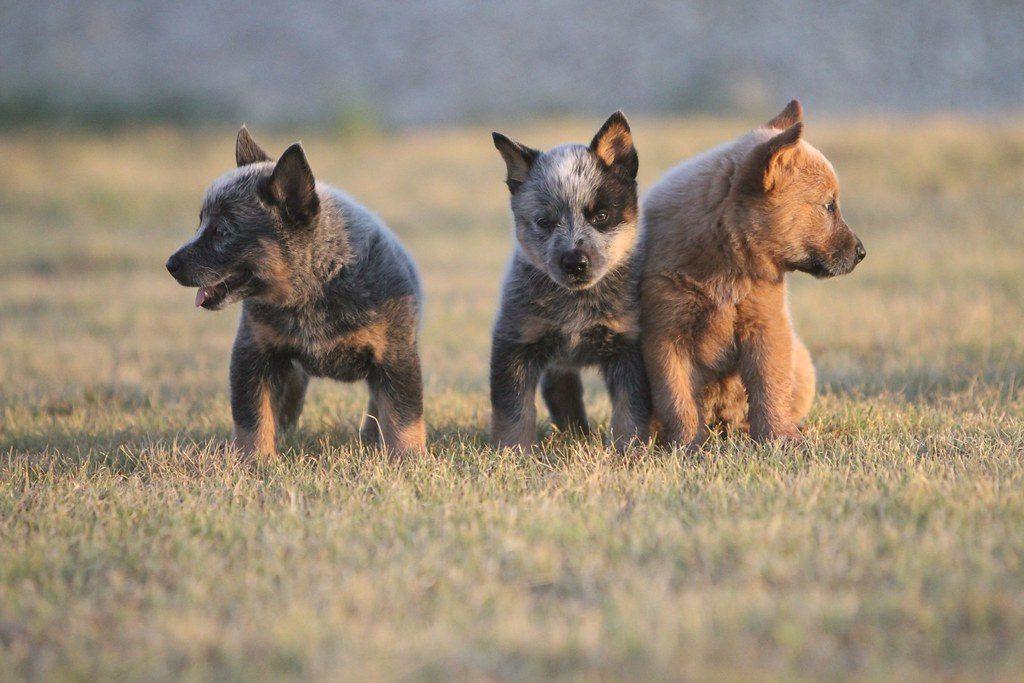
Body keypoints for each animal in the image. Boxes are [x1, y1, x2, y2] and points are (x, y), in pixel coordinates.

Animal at [167, 127, 423, 458]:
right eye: (200, 224)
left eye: (221, 232)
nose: (169, 264)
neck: (314, 289)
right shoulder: (254, 354)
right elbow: (252, 417)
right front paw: (254, 460)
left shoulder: (395, 355)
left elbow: (402, 418)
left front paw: (408, 459)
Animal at [487, 114, 647, 450]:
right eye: (544, 222)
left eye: (601, 216)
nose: (574, 262)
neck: (576, 304)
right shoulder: (516, 340)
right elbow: (513, 409)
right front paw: (512, 452)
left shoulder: (628, 344)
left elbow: (630, 409)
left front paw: (630, 450)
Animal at [638, 98, 864, 446]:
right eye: (829, 206)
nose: (861, 253)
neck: (725, 266)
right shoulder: (665, 333)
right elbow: (677, 397)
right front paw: (687, 445)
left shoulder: (767, 323)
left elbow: (769, 385)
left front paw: (778, 439)